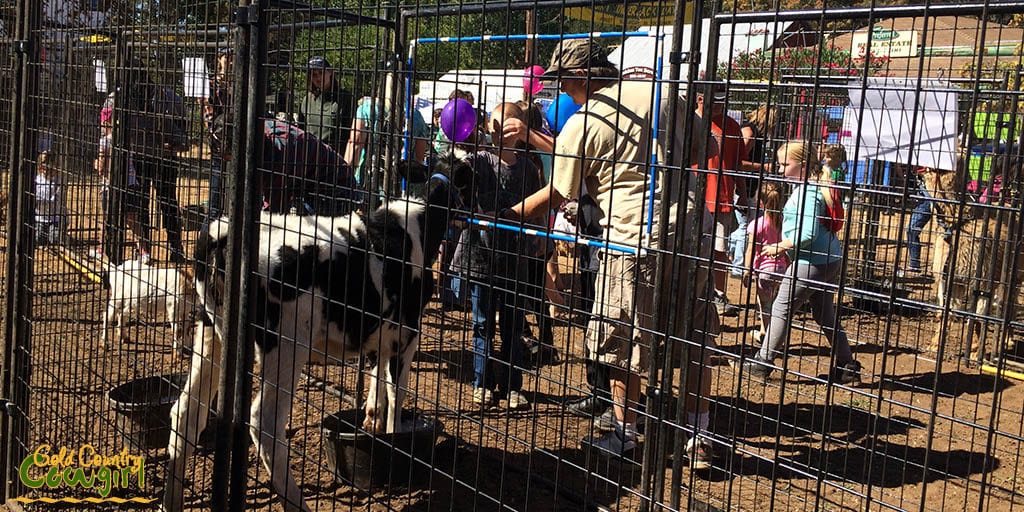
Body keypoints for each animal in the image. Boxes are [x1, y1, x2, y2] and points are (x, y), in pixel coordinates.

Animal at [163, 157, 471, 509]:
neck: (413, 225)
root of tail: (222, 232)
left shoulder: (377, 333)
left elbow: (377, 380)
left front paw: (371, 420)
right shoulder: (407, 333)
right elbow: (397, 394)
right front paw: (394, 437)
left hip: (211, 334)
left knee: (186, 413)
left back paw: (170, 501)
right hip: (284, 347)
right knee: (264, 422)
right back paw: (298, 503)